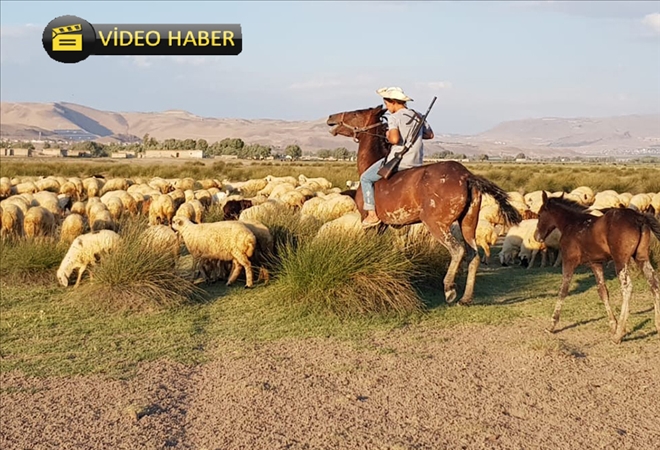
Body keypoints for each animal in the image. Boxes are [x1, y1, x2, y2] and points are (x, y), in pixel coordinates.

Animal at [328, 103, 524, 304]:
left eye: (356, 113)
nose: (330, 117)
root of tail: (467, 176)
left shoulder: (370, 222)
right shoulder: (390, 225)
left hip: (436, 224)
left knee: (458, 250)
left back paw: (449, 288)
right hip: (468, 223)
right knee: (473, 255)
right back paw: (466, 297)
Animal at [532, 192, 660, 342]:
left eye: (539, 214)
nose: (536, 237)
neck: (572, 224)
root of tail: (639, 218)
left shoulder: (569, 261)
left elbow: (563, 290)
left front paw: (551, 325)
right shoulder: (595, 263)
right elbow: (602, 291)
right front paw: (613, 324)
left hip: (620, 261)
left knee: (627, 287)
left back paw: (618, 336)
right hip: (641, 257)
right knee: (654, 283)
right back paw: (657, 326)